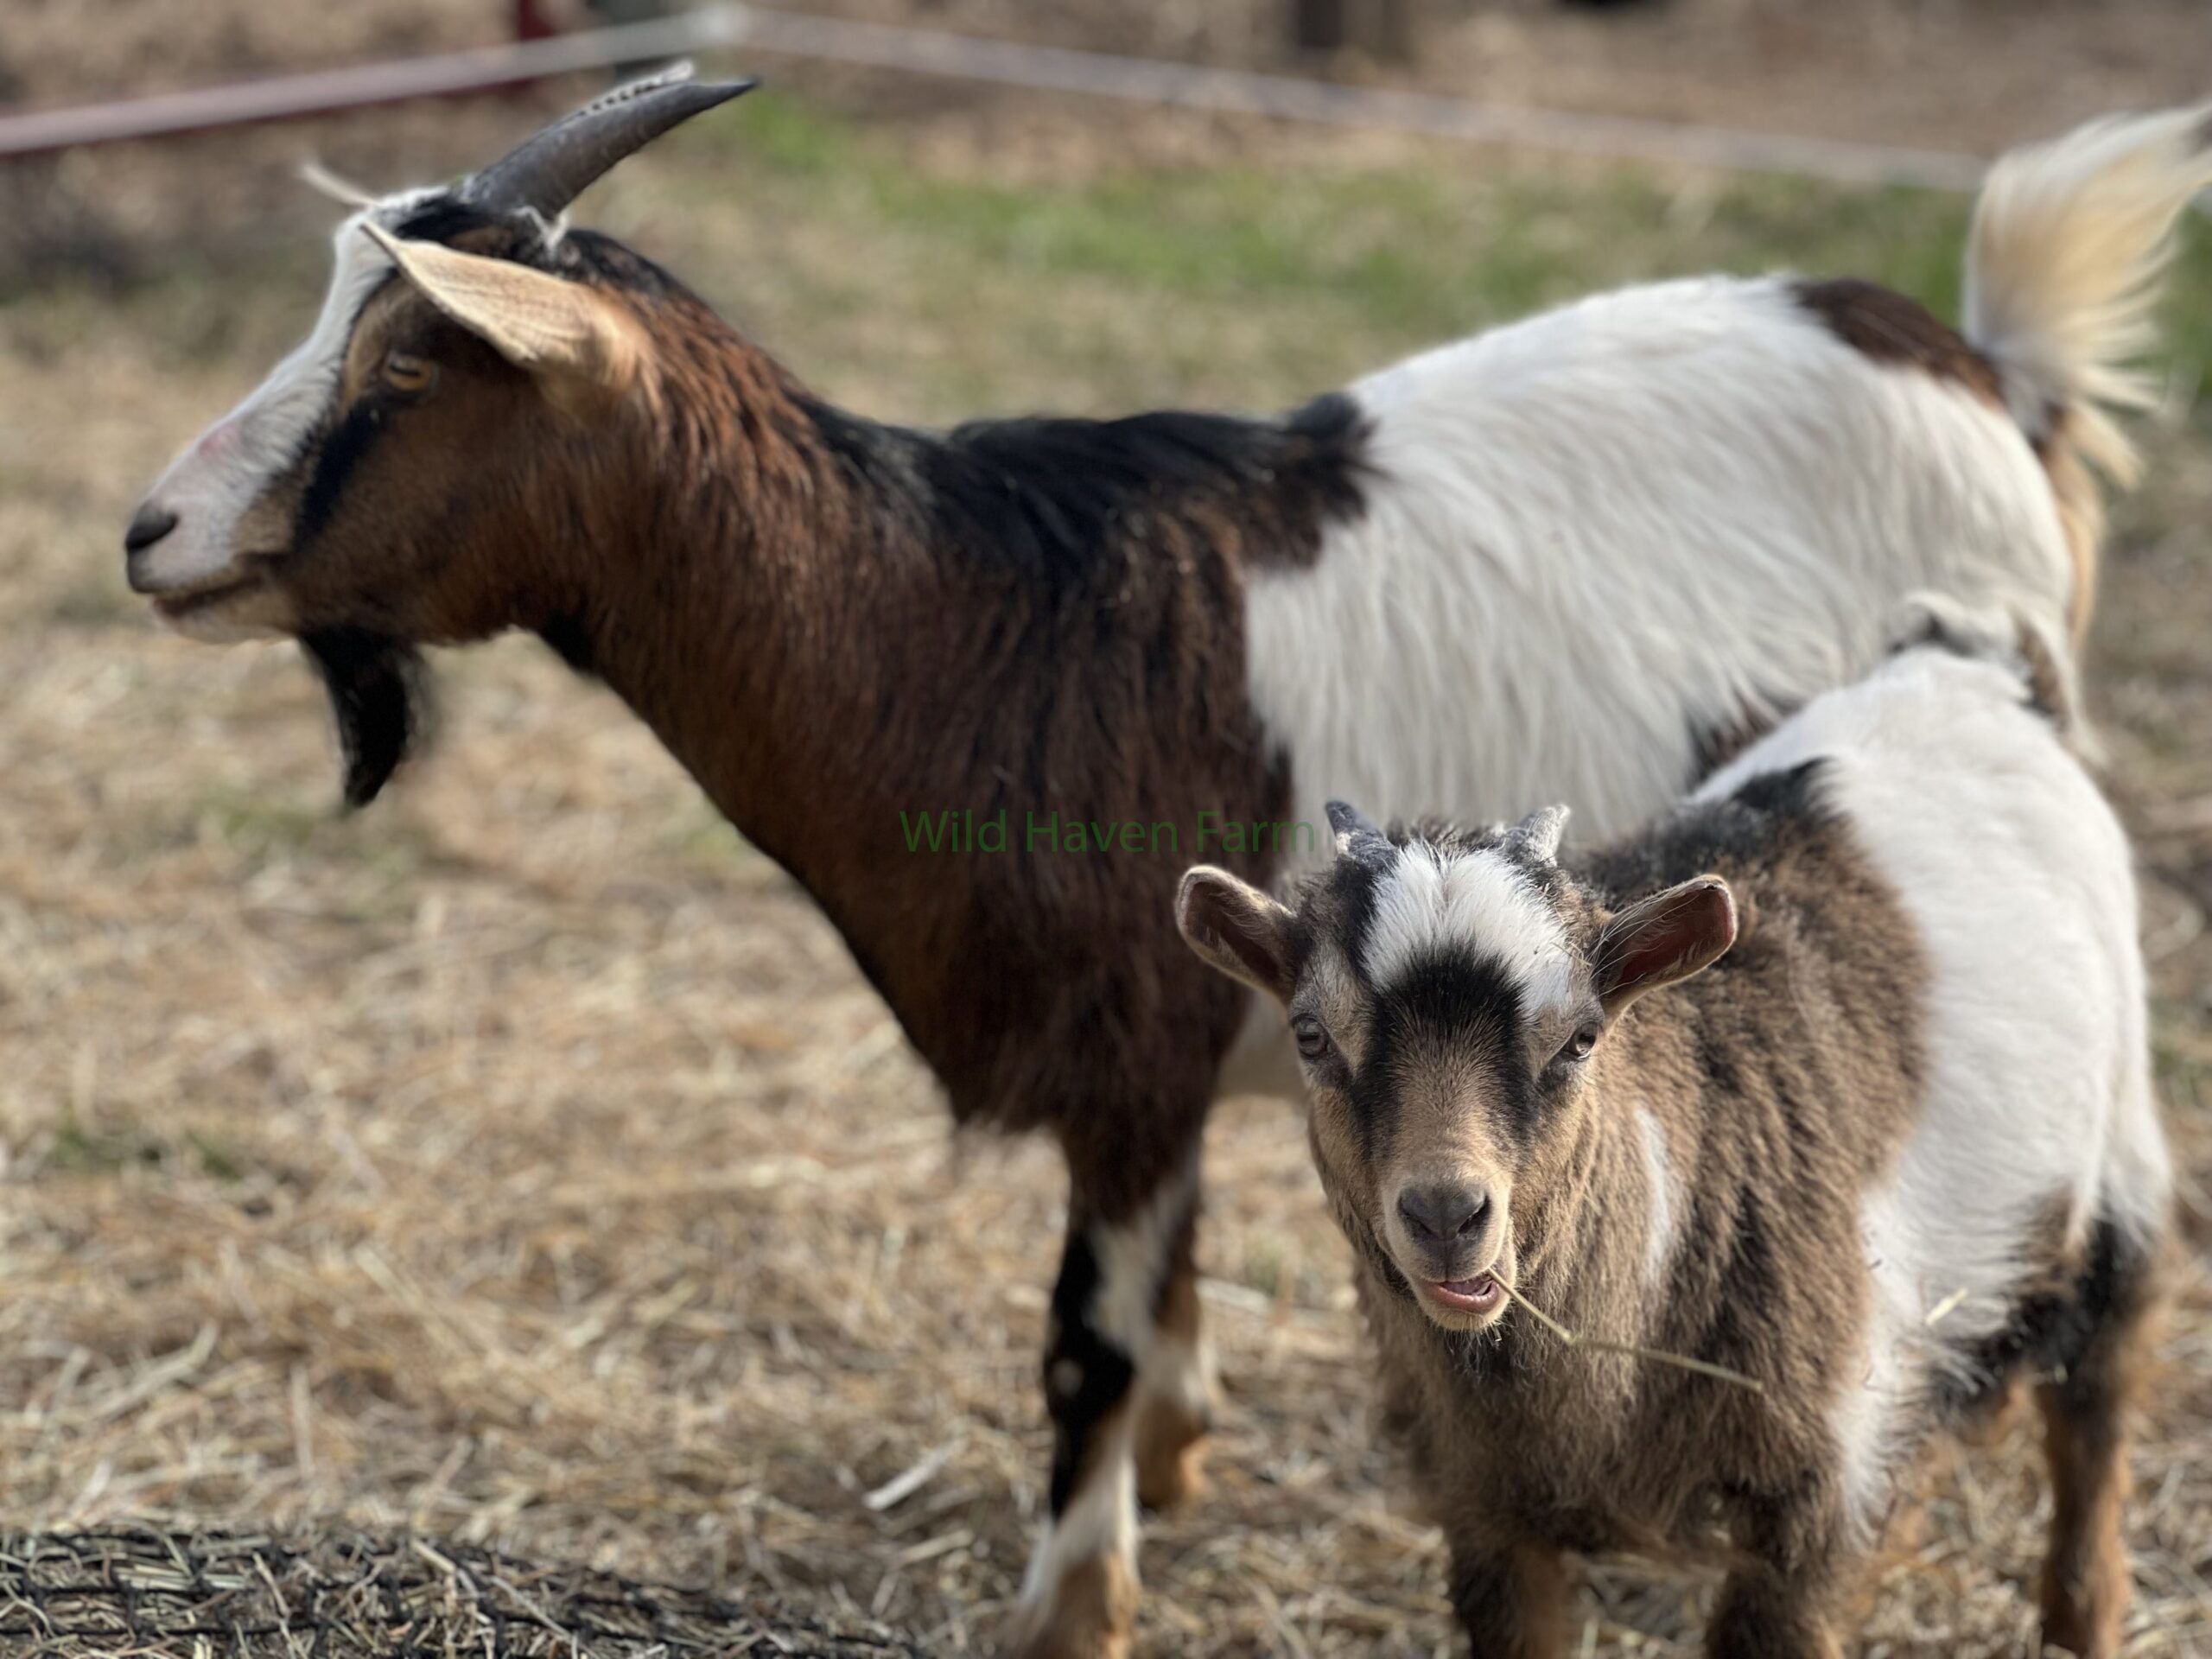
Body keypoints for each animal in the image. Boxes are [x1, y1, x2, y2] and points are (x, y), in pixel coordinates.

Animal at [1175, 604, 2171, 1658]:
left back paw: (2082, 1615)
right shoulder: (1484, 1510)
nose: (1447, 1215)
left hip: (2118, 1154)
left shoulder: (1817, 1496)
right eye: (1311, 1037)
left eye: (1581, 1038)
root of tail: (1971, 660)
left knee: (2099, 1392)